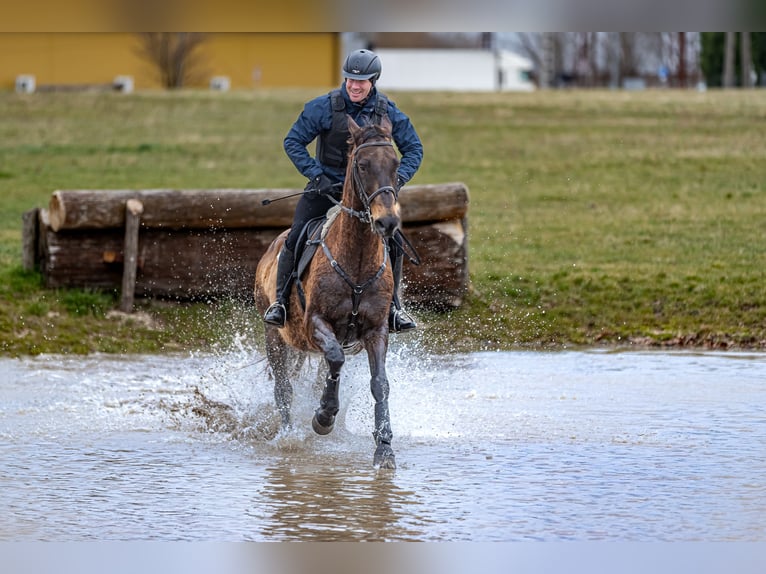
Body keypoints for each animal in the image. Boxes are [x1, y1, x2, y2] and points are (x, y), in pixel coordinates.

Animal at [256, 115, 404, 470]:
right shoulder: (316, 325)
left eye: (395, 164)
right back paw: (290, 436)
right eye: (362, 165)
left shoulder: (376, 330)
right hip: (275, 337)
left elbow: (379, 384)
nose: (387, 222)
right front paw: (323, 417)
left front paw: (384, 449)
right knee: (284, 390)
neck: (357, 261)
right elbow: (336, 359)